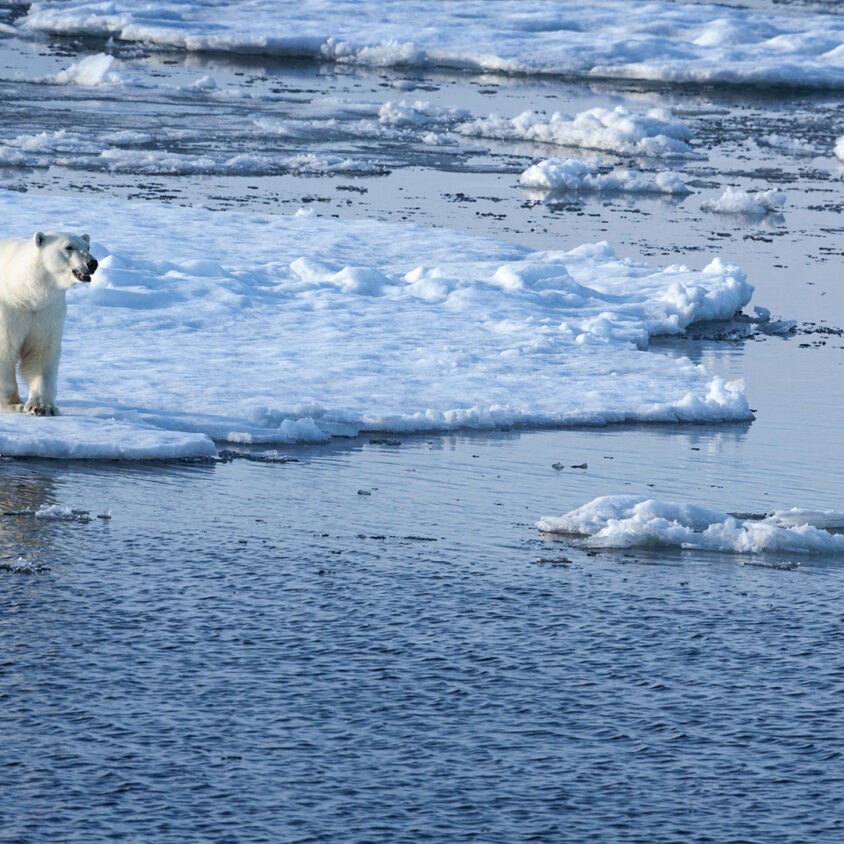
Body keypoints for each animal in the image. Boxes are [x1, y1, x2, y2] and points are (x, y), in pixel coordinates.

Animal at [0, 231, 97, 416]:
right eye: (68, 247)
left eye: (88, 247)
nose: (92, 263)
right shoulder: (10, 308)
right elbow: (5, 348)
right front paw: (13, 404)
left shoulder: (46, 312)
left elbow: (41, 352)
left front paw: (41, 407)